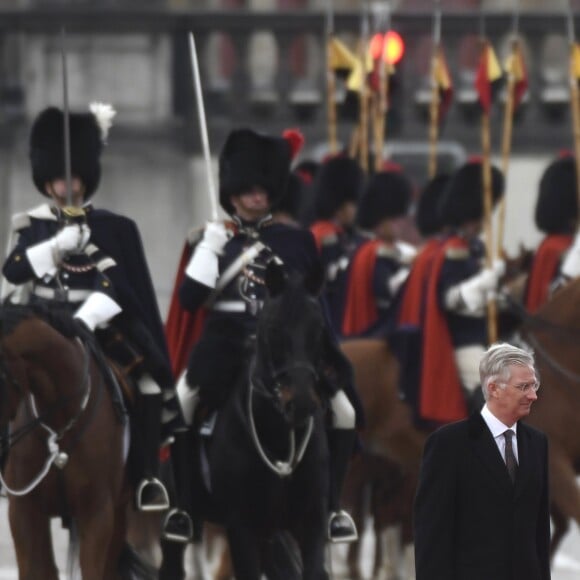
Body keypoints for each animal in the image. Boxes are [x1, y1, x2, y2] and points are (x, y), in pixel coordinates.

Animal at [161, 264, 334, 580]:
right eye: (273, 328)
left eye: (319, 329)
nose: (301, 401)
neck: (280, 439)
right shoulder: (242, 526)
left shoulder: (310, 522)